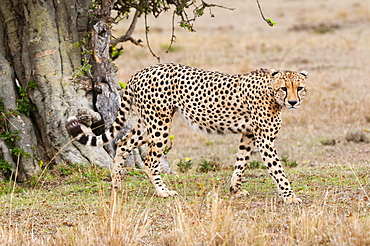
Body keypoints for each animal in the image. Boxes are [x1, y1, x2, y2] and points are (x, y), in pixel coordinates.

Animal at [66, 63, 306, 204]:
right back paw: (162, 191)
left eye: (300, 88)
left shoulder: (248, 135)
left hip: (148, 123)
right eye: (284, 88)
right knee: (150, 160)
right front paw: (290, 196)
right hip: (160, 124)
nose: (294, 102)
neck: (271, 91)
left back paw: (116, 184)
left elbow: (241, 162)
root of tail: (142, 71)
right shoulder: (265, 139)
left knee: (124, 143)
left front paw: (234, 190)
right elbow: (277, 170)